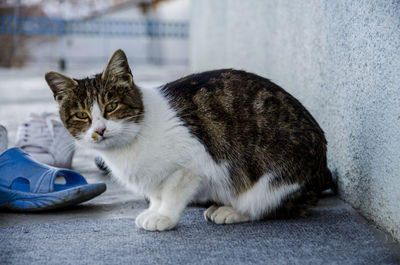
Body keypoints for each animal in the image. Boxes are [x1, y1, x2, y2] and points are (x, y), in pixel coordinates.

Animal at [44, 48, 332, 230]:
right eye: (81, 115)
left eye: (111, 106)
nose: (100, 130)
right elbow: (157, 194)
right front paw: (154, 210)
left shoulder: (191, 165)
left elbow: (172, 193)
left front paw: (163, 218)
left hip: (271, 180)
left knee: (266, 206)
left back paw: (232, 211)